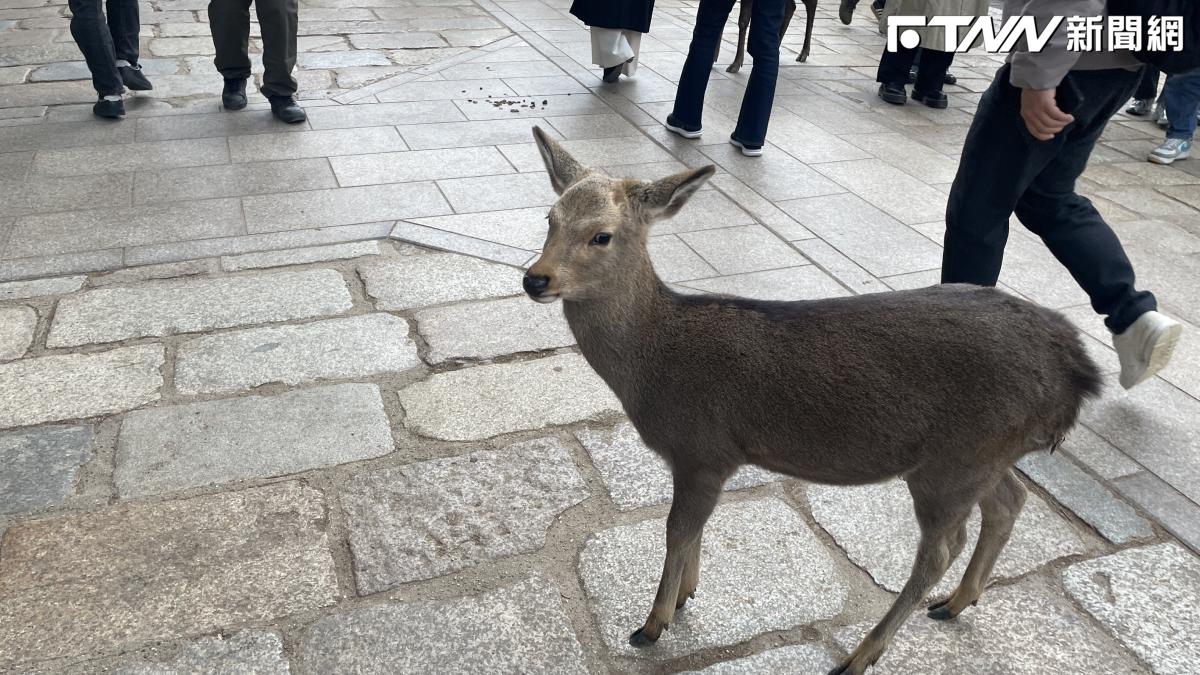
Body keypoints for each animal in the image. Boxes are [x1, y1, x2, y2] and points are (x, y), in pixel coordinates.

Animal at [522, 127, 1103, 675]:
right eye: (549, 217)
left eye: (601, 235)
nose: (535, 279)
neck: (653, 366)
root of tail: (1078, 372)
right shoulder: (711, 460)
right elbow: (695, 528)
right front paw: (687, 594)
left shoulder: (703, 449)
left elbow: (676, 529)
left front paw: (653, 623)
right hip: (986, 454)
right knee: (1009, 500)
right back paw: (957, 602)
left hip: (954, 462)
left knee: (940, 549)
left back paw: (861, 654)